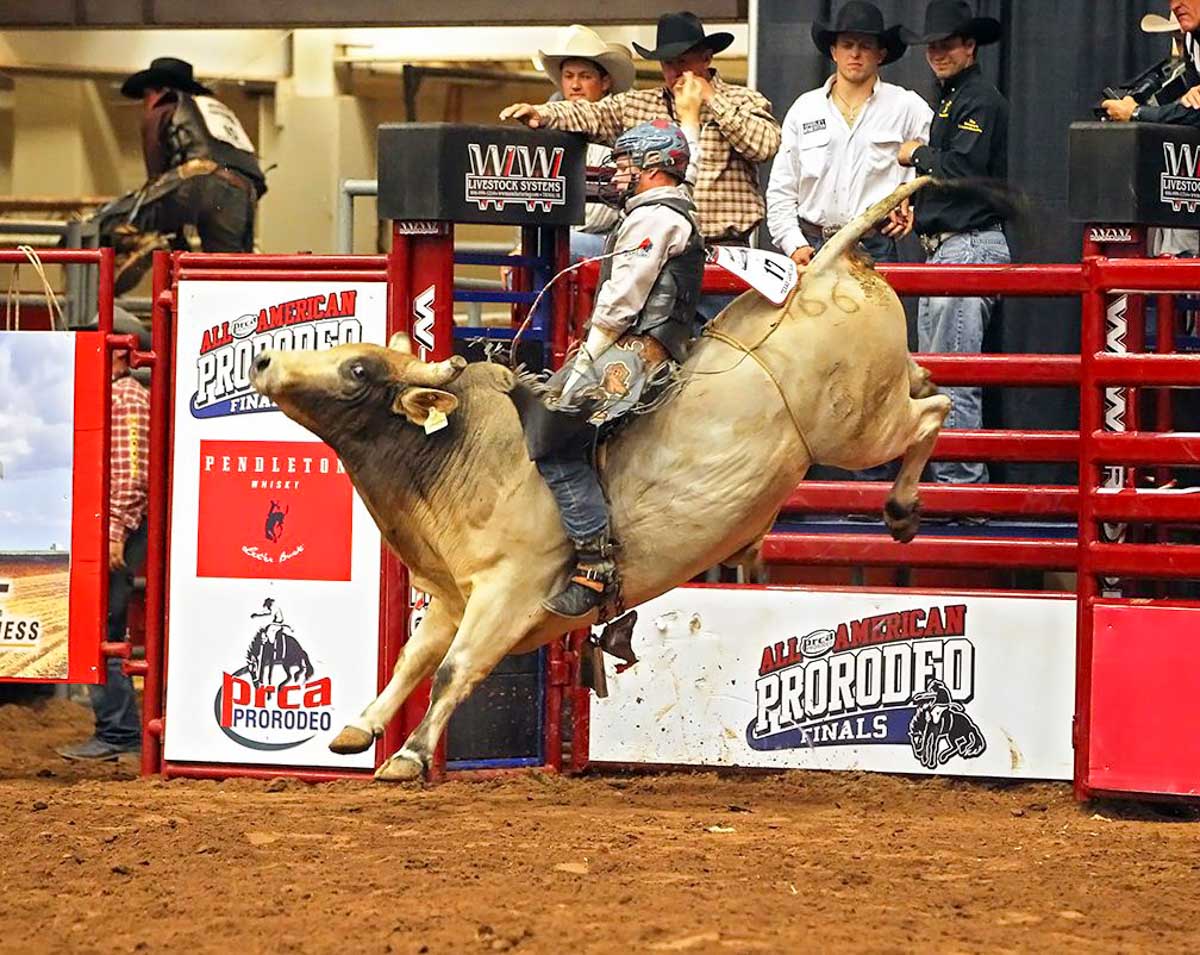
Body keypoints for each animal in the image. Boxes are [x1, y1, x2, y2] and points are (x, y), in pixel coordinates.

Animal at [248, 178, 950, 782]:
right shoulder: (449, 599)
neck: (462, 453)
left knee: (931, 414)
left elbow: (453, 670)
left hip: (856, 432)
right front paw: (357, 730)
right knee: (925, 387)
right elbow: (410, 662)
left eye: (358, 370)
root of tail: (823, 265)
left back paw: (902, 509)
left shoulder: (507, 592)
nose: (264, 360)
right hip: (876, 398)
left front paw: (409, 756)